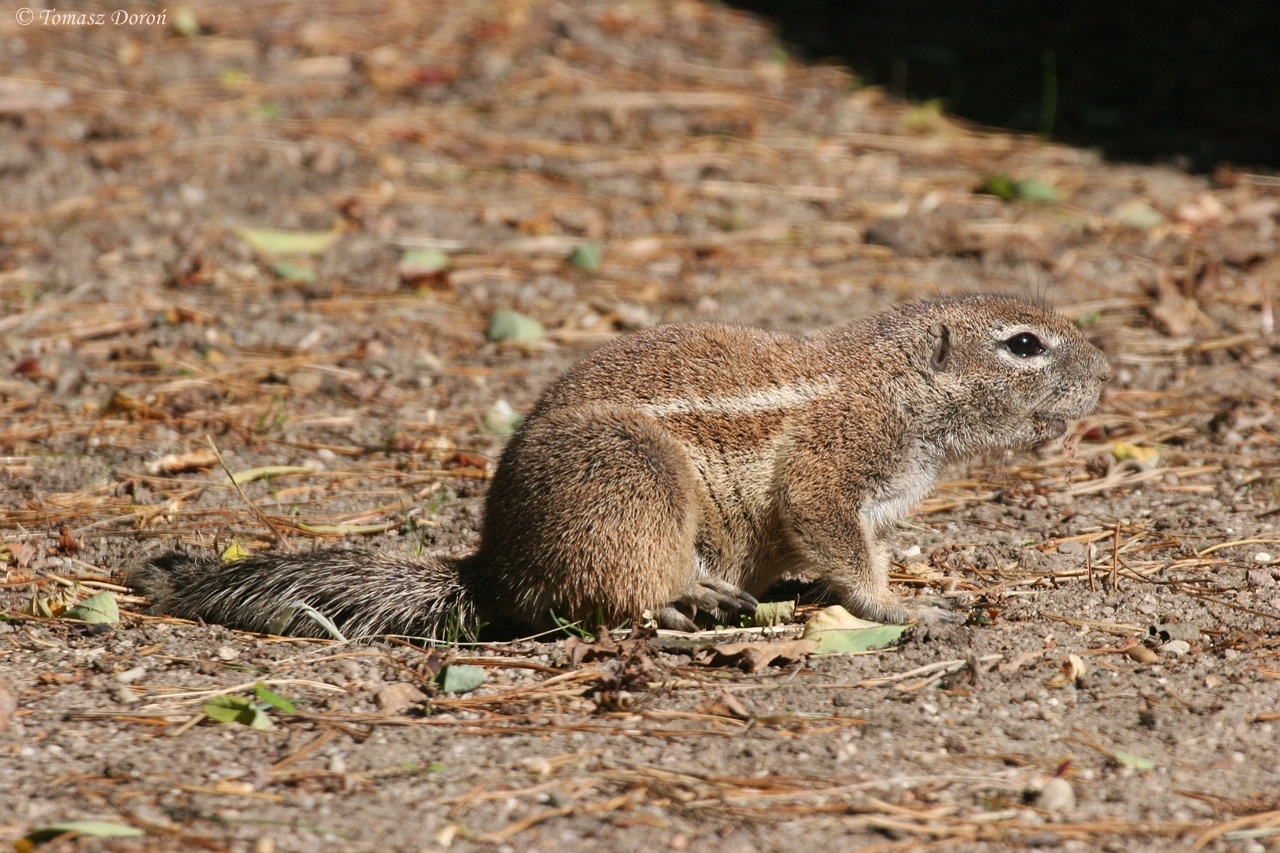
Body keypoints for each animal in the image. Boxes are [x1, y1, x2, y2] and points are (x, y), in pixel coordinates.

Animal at [130, 294, 1110, 639]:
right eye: (1024, 344)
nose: (1106, 371)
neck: (891, 385)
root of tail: (495, 564)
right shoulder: (831, 471)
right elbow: (840, 544)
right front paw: (906, 607)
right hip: (629, 482)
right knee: (598, 595)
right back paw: (687, 599)